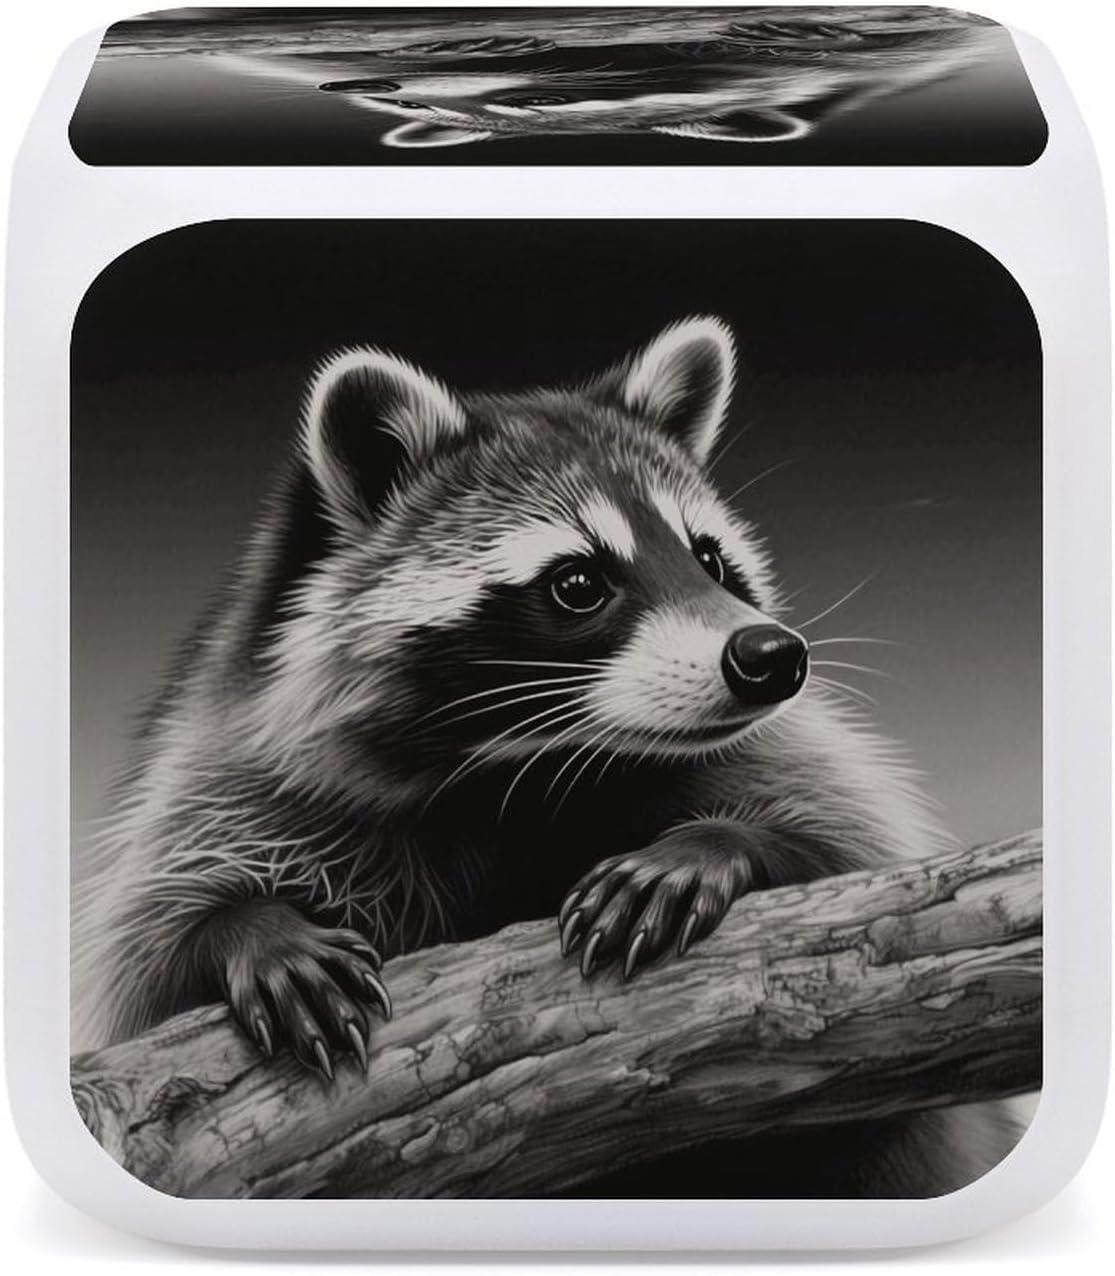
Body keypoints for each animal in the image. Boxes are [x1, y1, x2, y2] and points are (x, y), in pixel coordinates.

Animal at [73, 316, 1021, 1197]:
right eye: (577, 583)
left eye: (708, 559)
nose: (772, 657)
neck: (528, 773)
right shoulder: (238, 778)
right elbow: (146, 970)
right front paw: (246, 929)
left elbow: (857, 862)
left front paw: (717, 846)